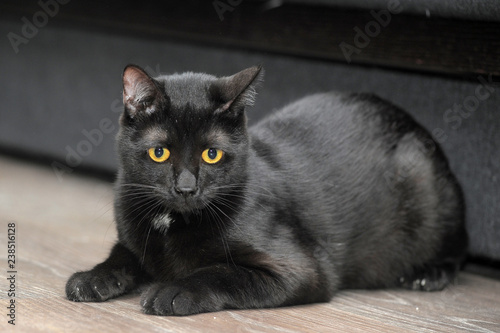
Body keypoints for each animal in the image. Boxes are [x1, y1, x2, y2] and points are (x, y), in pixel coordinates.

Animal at [64, 64, 466, 314]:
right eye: (159, 152)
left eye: (211, 154)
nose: (186, 188)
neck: (171, 222)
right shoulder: (134, 239)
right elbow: (123, 256)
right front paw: (93, 277)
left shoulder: (302, 269)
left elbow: (221, 271)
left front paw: (174, 290)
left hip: (427, 187)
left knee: (457, 248)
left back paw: (428, 274)